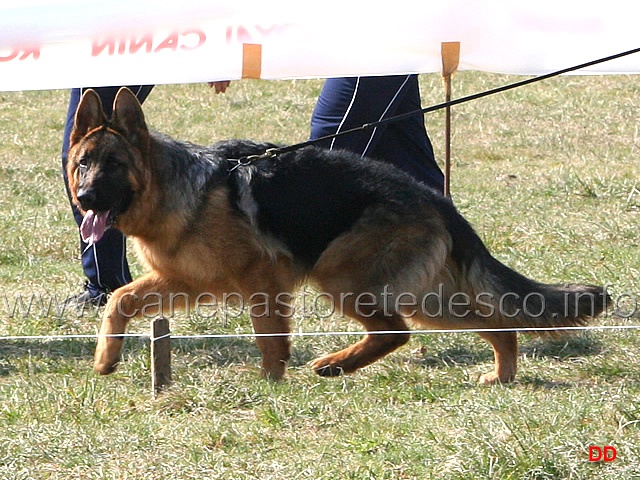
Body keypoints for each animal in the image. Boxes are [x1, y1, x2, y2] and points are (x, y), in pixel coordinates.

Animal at [67, 87, 608, 386]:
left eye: (113, 165)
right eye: (83, 164)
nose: (87, 199)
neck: (178, 188)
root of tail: (438, 201)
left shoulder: (262, 281)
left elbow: (269, 339)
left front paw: (269, 383)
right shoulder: (184, 283)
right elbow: (118, 298)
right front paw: (105, 360)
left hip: (344, 279)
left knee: (396, 331)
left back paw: (334, 364)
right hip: (428, 298)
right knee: (495, 324)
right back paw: (500, 375)